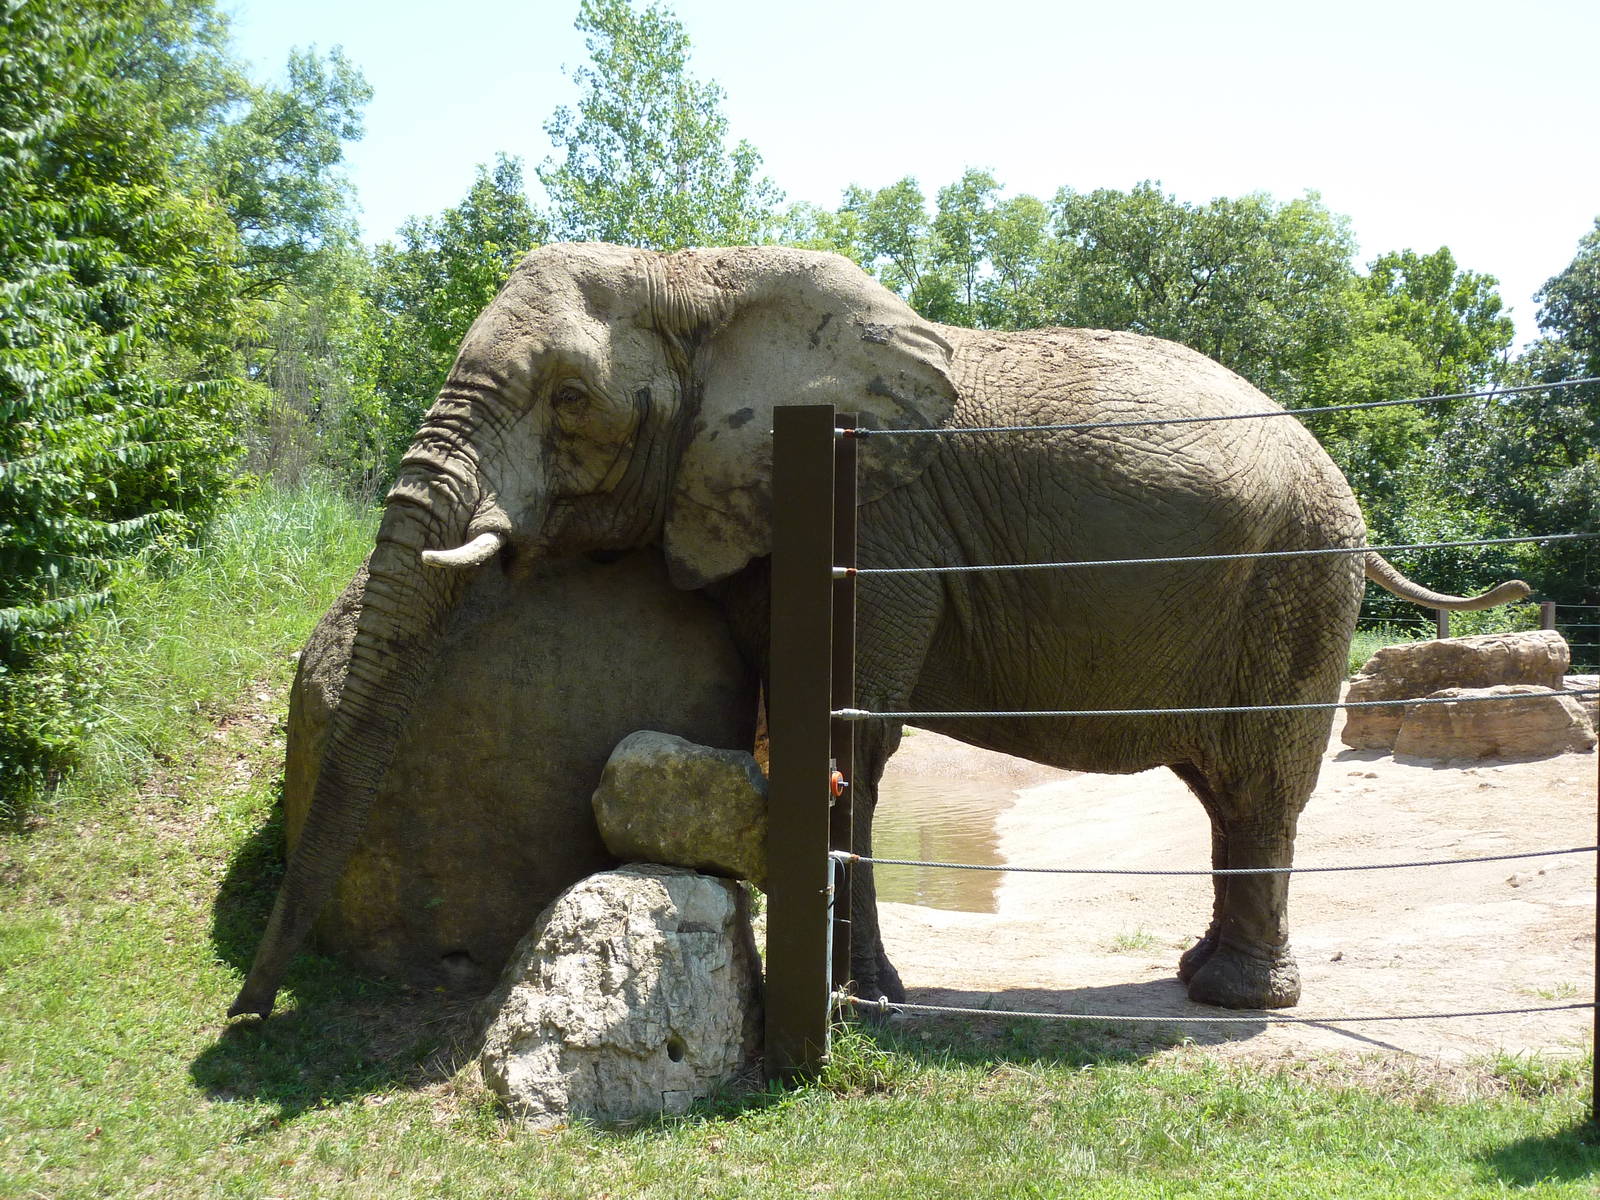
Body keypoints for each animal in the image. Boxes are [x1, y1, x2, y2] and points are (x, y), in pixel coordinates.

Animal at [229, 242, 1527, 1019]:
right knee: (1227, 791)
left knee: (1258, 783)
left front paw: (866, 1004)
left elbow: (852, 726)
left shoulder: (873, 515)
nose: (247, 1012)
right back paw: (1205, 980)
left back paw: (1232, 1004)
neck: (700, 271)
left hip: (1295, 583)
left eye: (572, 401)